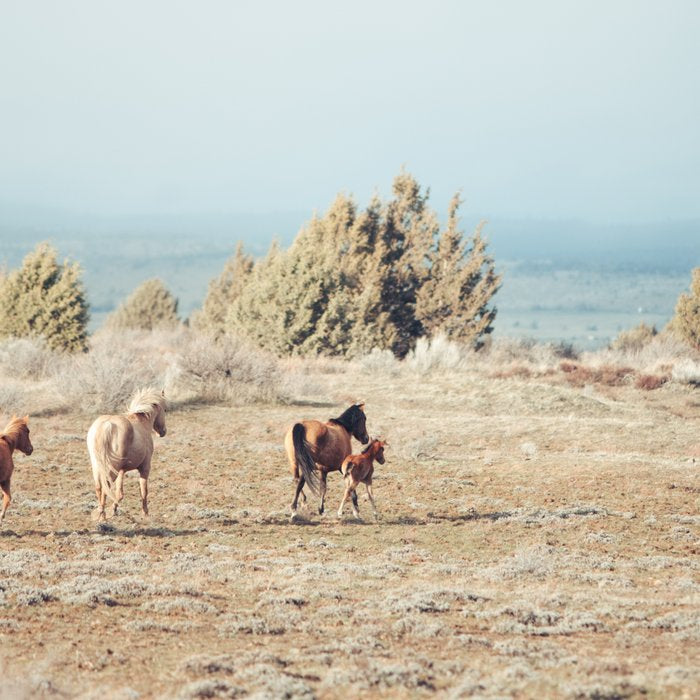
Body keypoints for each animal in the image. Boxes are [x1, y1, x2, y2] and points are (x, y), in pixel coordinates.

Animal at [87, 388, 167, 520]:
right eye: (165, 409)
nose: (163, 432)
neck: (141, 423)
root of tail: (107, 425)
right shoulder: (145, 468)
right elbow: (143, 491)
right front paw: (145, 513)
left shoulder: (121, 471)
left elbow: (119, 493)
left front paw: (114, 510)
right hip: (110, 469)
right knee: (105, 486)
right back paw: (102, 516)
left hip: (97, 466)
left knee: (99, 487)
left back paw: (100, 513)